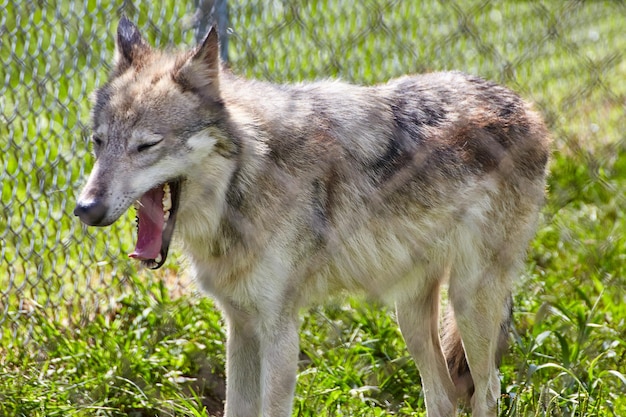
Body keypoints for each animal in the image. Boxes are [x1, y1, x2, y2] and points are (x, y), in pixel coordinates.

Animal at [75, 17, 548, 416]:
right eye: (98, 142)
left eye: (146, 146)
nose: (85, 209)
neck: (247, 178)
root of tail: (525, 107)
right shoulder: (240, 326)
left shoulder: (280, 331)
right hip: (410, 316)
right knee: (444, 396)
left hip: (468, 303)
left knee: (488, 392)